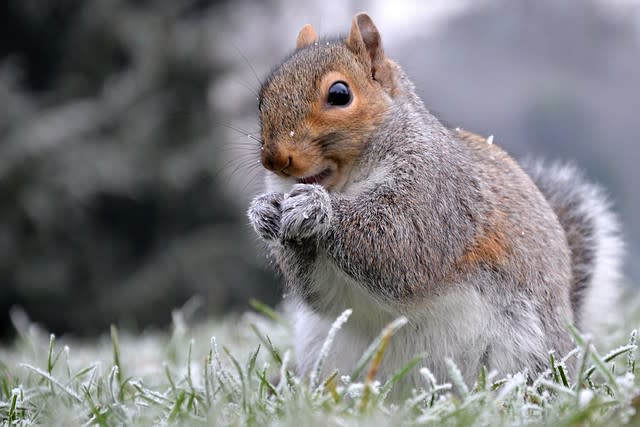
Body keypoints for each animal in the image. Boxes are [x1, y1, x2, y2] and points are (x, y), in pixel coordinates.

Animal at [248, 13, 624, 394]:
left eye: (340, 94)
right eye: (263, 97)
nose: (274, 159)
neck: (348, 182)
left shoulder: (437, 195)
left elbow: (401, 245)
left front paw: (318, 209)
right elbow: (321, 294)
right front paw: (263, 211)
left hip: (522, 351)